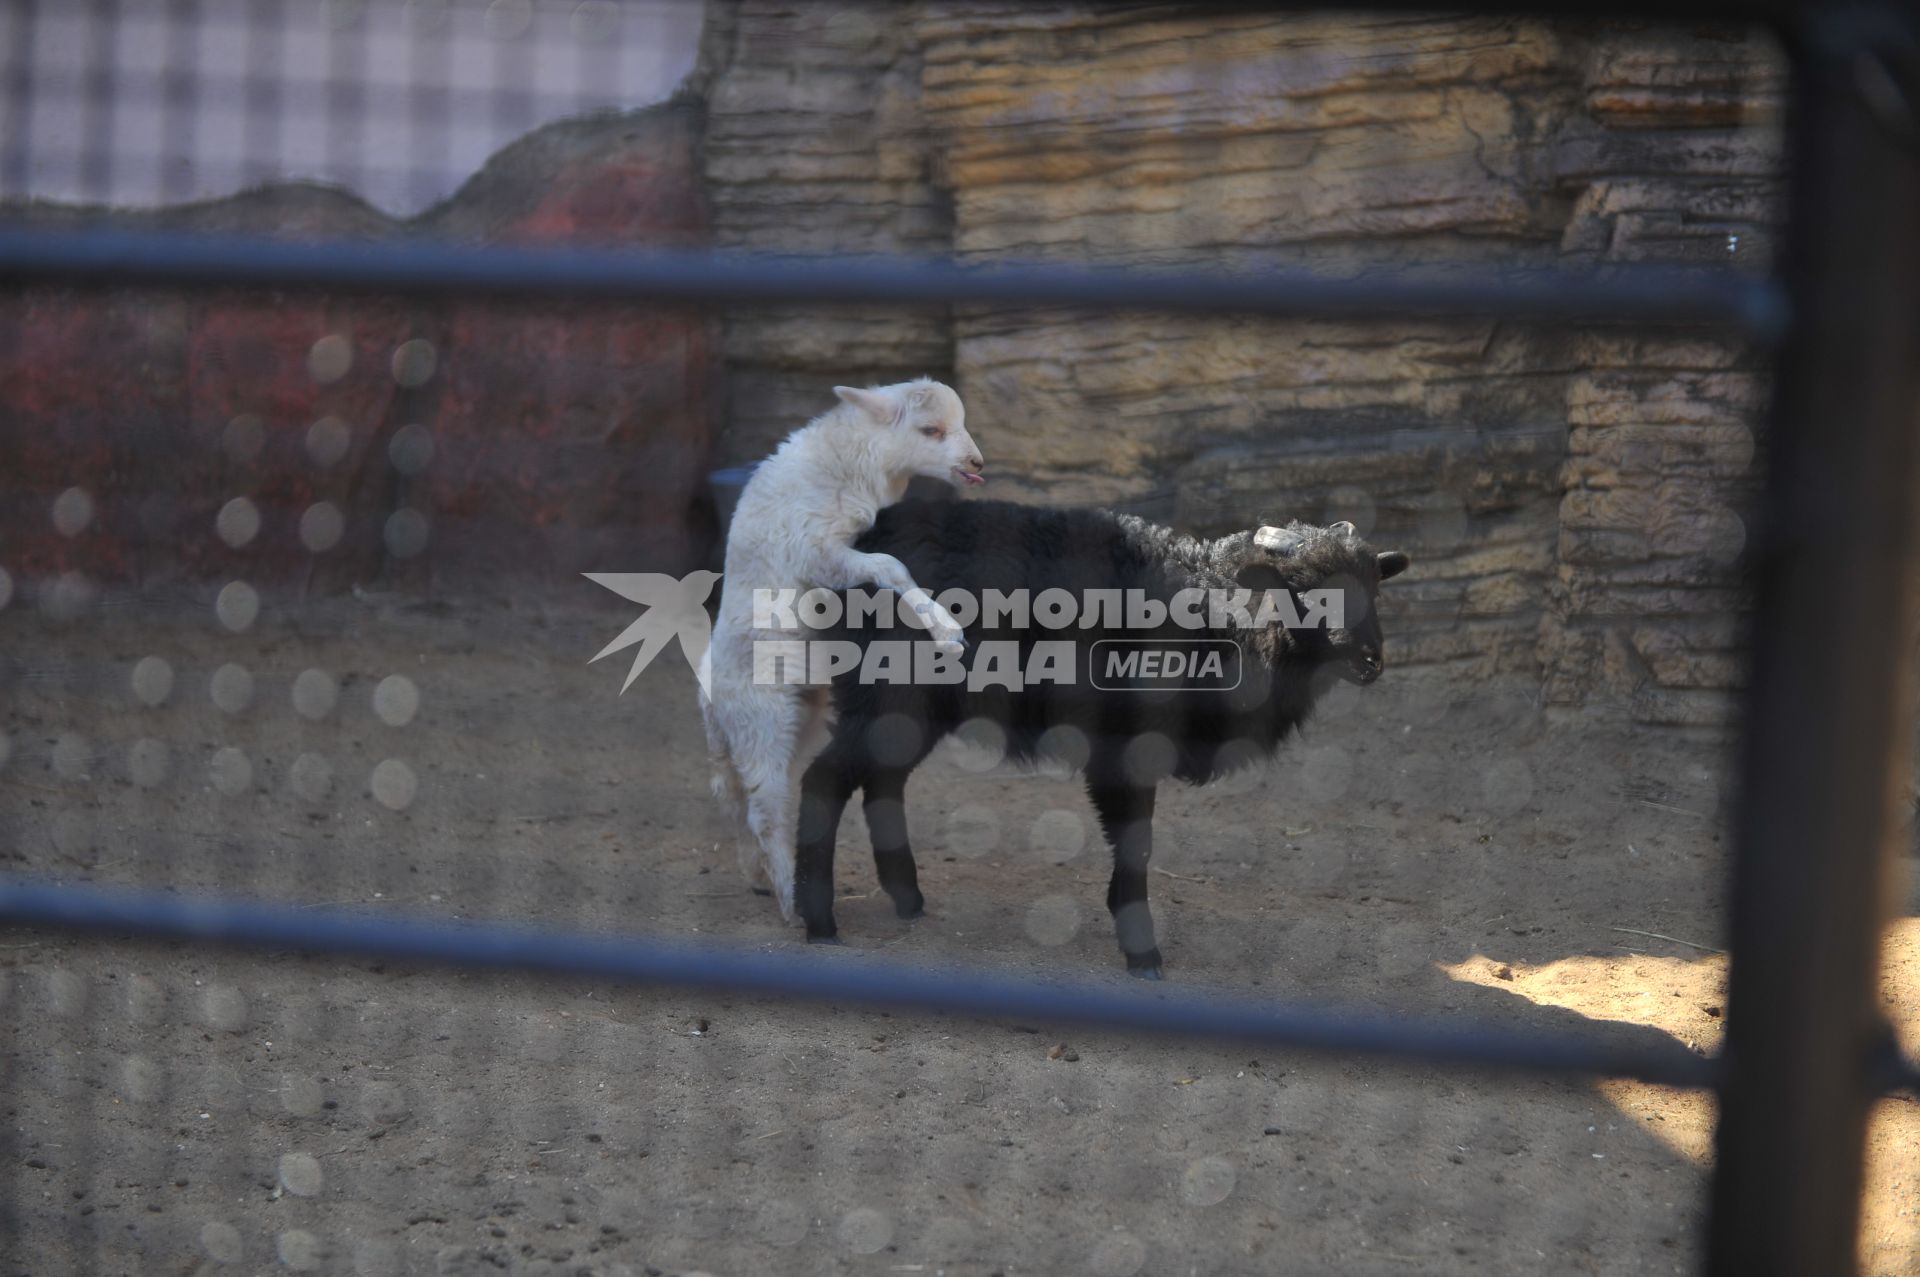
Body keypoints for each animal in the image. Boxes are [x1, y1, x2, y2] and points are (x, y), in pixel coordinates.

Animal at [698, 378, 983, 917]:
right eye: (930, 430)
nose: (976, 463)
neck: (849, 461)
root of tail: (708, 703)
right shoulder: (814, 550)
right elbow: (892, 566)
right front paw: (945, 630)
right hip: (762, 717)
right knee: (764, 806)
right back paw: (792, 900)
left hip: (794, 715)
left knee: (738, 797)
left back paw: (758, 876)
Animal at [794, 499, 1413, 975]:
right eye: (1304, 593)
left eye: (1374, 590)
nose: (1370, 661)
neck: (1217, 622)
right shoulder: (1122, 750)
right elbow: (1137, 843)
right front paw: (1142, 952)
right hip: (886, 697)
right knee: (825, 780)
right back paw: (819, 920)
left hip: (912, 710)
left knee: (883, 782)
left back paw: (907, 899)